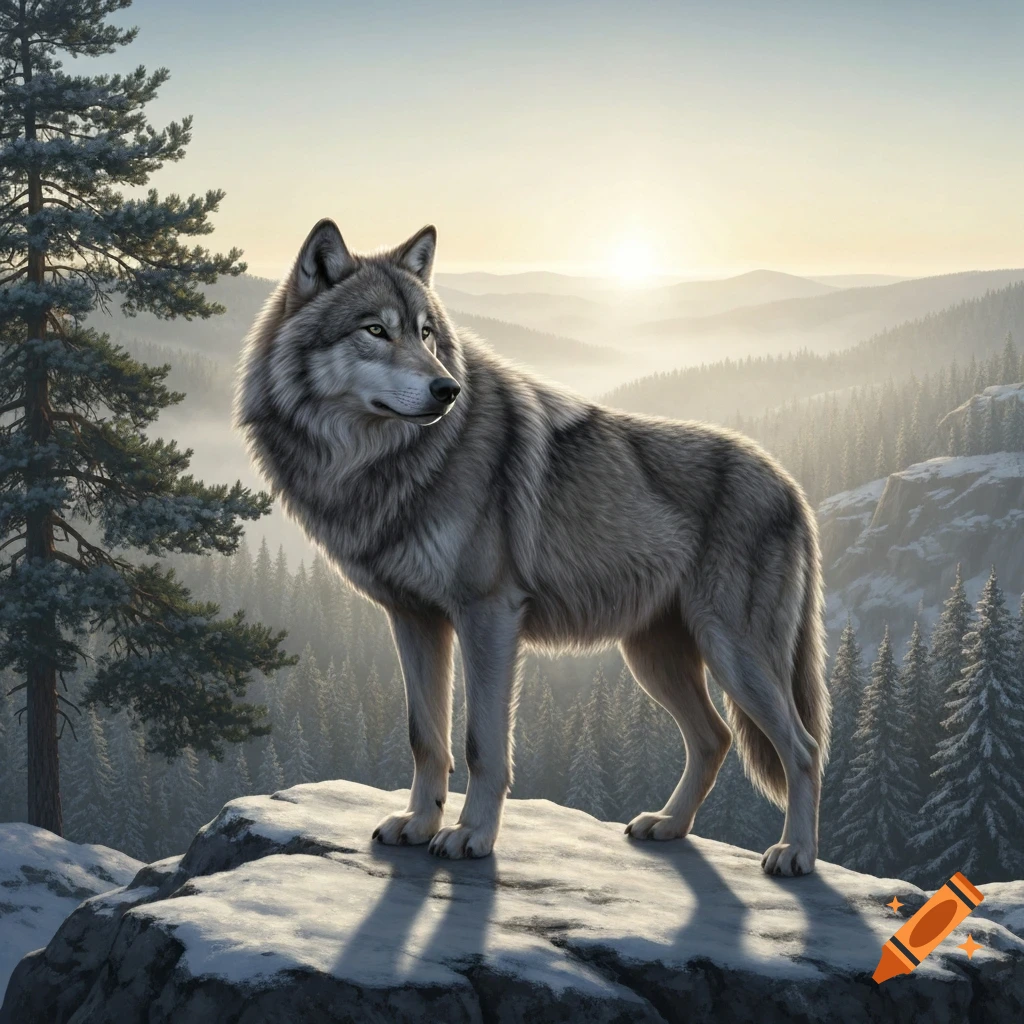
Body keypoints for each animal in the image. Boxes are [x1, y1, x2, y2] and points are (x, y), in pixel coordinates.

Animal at [236, 219, 831, 876]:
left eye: (425, 333)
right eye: (376, 330)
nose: (448, 389)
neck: (381, 466)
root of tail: (791, 484)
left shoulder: (489, 615)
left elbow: (481, 745)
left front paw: (471, 836)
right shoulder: (414, 618)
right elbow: (426, 737)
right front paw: (419, 824)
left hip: (734, 654)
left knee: (803, 748)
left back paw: (796, 853)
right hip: (654, 657)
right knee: (715, 738)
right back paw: (669, 824)